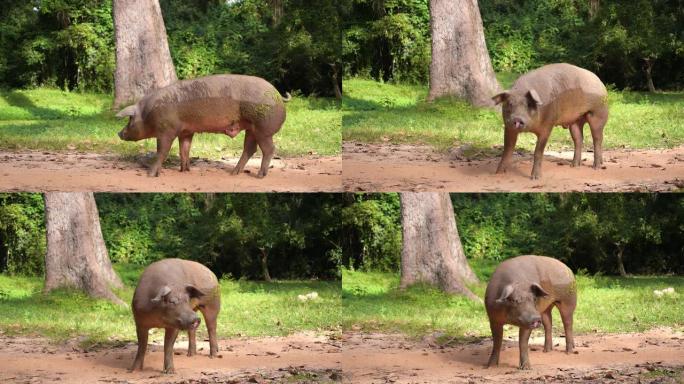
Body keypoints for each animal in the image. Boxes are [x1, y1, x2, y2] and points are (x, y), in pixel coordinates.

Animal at [116, 74, 290, 178]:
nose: (119, 133)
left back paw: (260, 175)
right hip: (251, 129)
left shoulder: (166, 131)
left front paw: (151, 175)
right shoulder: (186, 132)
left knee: (269, 149)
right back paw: (234, 173)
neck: (147, 114)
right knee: (250, 149)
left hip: (263, 130)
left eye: (130, 119)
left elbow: (162, 152)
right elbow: (184, 150)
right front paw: (184, 171)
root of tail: (278, 95)